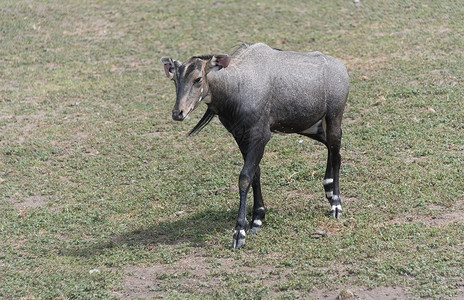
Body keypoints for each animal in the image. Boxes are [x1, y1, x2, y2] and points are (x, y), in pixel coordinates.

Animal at [161, 42, 350, 248]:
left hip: (333, 118)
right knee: (332, 148)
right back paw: (328, 188)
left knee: (336, 153)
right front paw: (258, 217)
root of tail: (342, 69)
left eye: (198, 79)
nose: (178, 113)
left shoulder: (260, 136)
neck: (236, 85)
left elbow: (245, 177)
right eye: (175, 80)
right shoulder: (241, 137)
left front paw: (239, 232)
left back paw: (336, 204)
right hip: (311, 127)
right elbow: (255, 174)